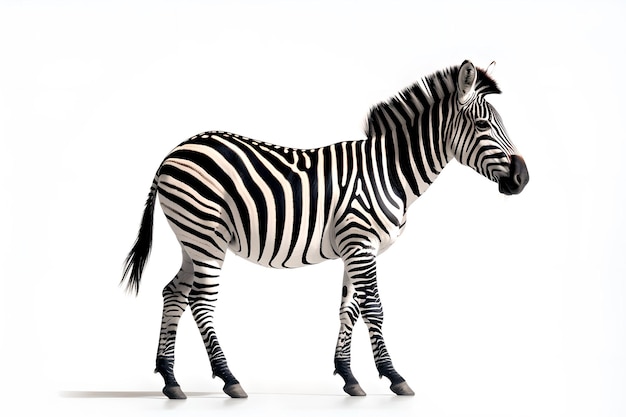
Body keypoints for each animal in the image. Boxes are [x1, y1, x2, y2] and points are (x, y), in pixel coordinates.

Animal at [120, 59, 528, 400]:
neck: (390, 171)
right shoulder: (361, 243)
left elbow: (349, 309)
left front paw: (348, 376)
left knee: (173, 293)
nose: (522, 179)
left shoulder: (355, 247)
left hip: (193, 239)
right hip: (206, 234)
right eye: (482, 125)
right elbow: (375, 308)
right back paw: (230, 378)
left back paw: (170, 380)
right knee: (201, 302)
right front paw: (394, 376)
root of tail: (173, 152)